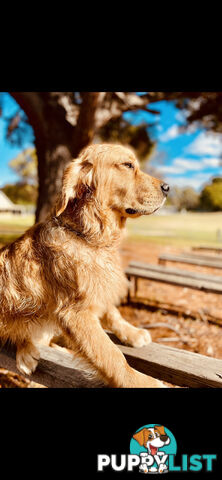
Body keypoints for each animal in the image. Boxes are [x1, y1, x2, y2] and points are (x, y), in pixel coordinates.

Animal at [0, 142, 169, 386]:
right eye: (128, 165)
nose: (168, 187)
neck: (89, 237)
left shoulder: (97, 288)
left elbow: (112, 312)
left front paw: (131, 332)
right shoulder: (76, 313)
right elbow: (111, 355)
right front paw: (142, 381)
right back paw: (26, 353)